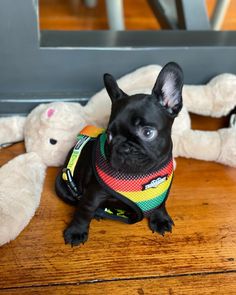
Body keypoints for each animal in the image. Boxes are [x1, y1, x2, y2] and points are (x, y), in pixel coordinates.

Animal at [54, 62, 183, 247]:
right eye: (109, 135)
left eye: (147, 132)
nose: (124, 148)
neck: (139, 175)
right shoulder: (93, 194)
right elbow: (83, 211)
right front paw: (76, 231)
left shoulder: (161, 190)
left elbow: (160, 204)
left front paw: (160, 219)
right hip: (62, 185)